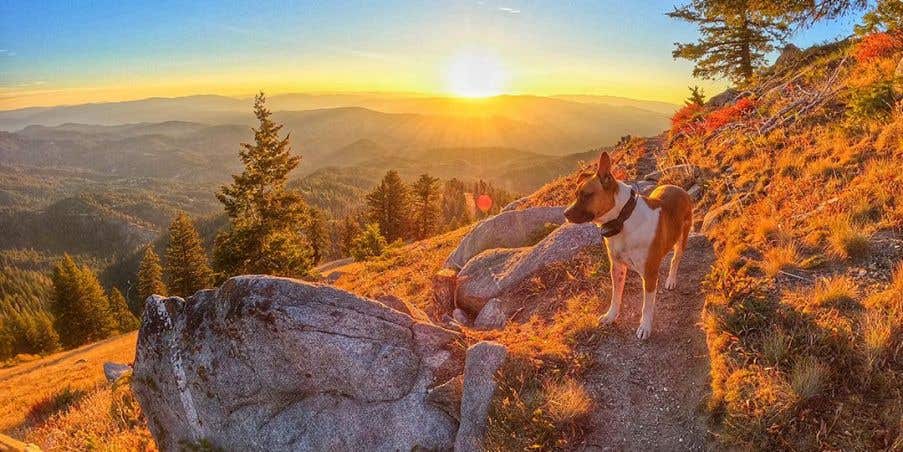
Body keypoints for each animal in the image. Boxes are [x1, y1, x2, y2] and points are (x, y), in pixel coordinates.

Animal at [564, 152, 692, 340]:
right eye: (575, 194)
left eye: (586, 195)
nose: (565, 213)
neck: (623, 220)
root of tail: (678, 188)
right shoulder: (617, 268)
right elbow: (615, 296)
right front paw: (611, 315)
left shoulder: (649, 274)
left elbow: (647, 305)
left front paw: (645, 326)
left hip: (682, 238)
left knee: (675, 258)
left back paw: (671, 280)